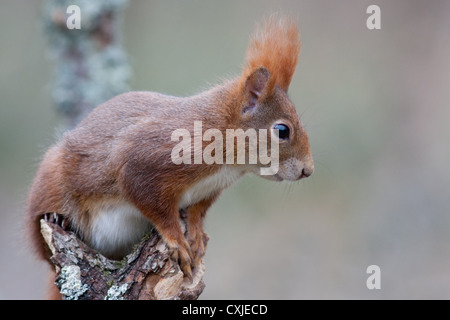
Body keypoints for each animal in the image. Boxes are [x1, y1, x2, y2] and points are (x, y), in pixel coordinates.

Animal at [24, 15, 312, 292]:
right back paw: (58, 219)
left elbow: (198, 211)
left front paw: (196, 233)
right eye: (282, 130)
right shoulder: (146, 162)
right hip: (52, 185)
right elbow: (154, 206)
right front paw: (177, 241)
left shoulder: (209, 188)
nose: (308, 170)